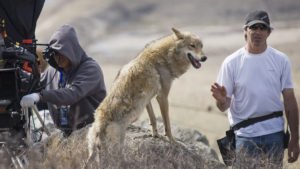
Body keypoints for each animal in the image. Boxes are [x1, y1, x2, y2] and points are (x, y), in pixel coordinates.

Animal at [84, 27, 206, 166]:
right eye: (192, 45)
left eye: (201, 46)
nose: (204, 58)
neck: (164, 57)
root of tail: (100, 125)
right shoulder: (162, 96)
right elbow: (167, 124)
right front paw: (173, 141)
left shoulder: (148, 99)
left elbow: (153, 119)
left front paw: (155, 135)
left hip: (94, 153)